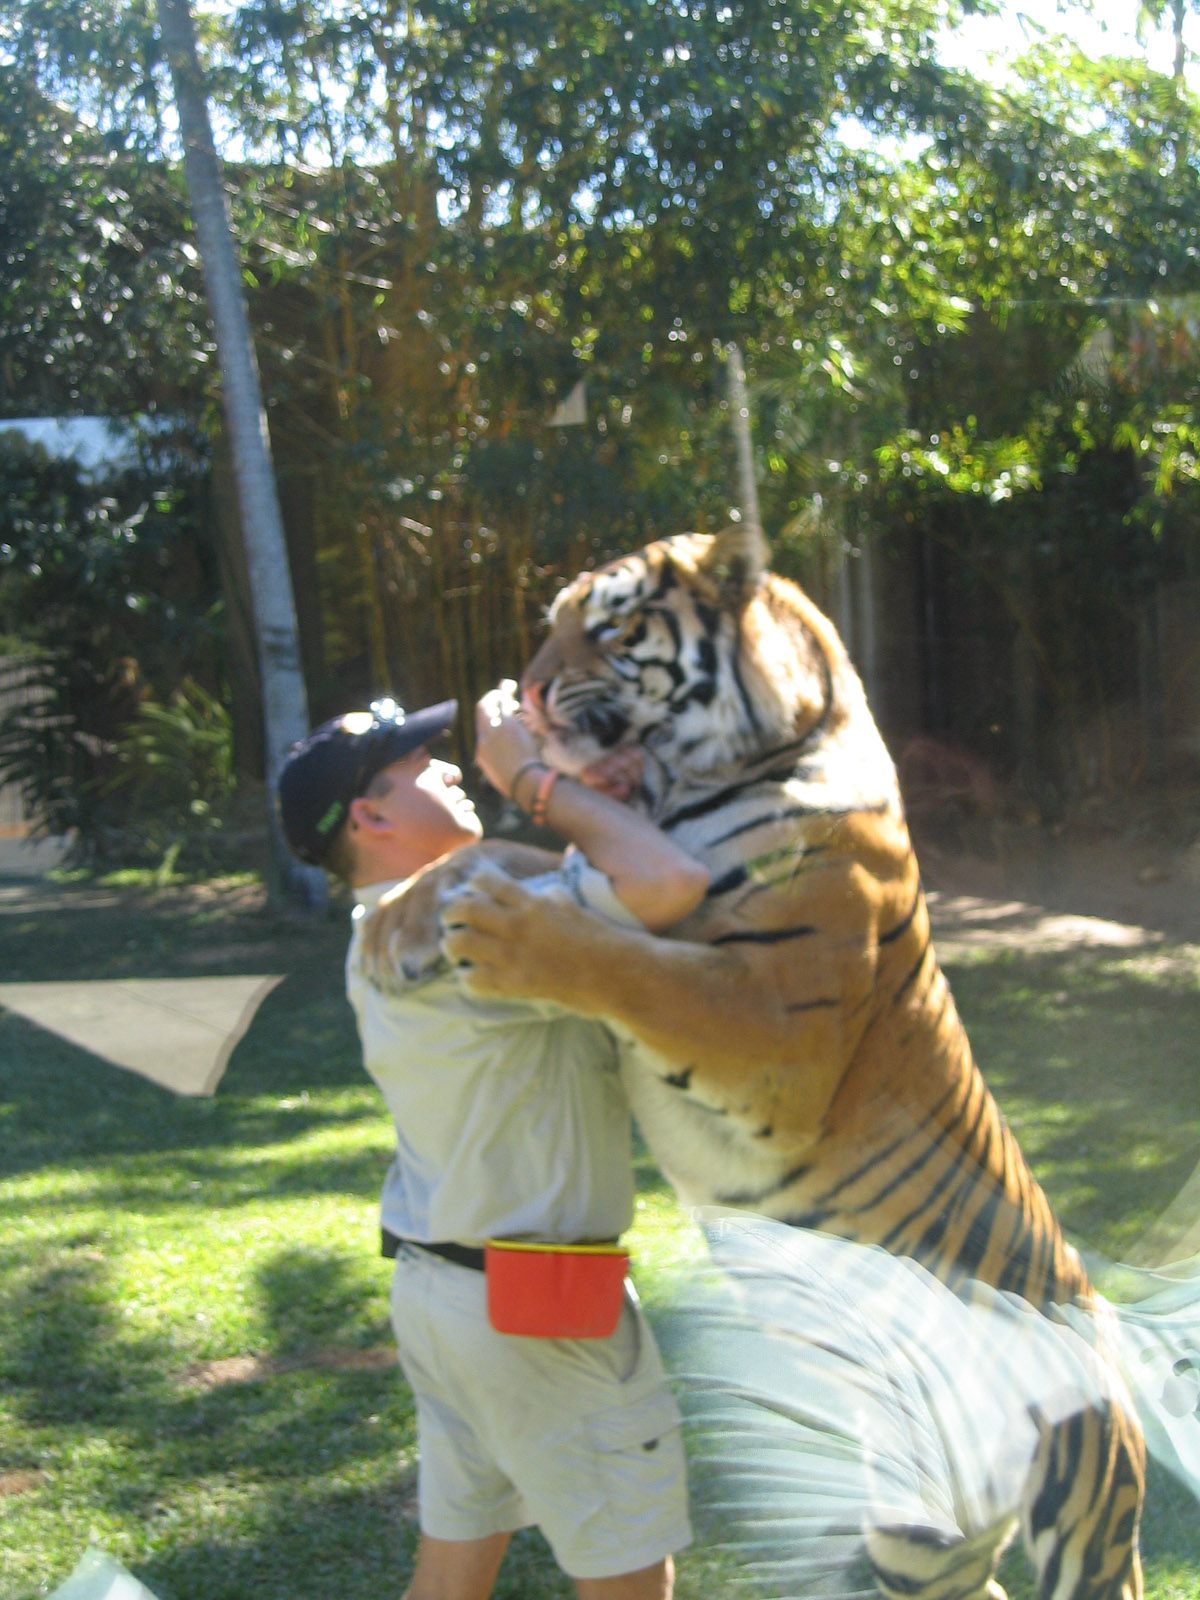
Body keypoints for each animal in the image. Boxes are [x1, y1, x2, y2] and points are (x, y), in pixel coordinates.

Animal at [360, 519, 1146, 1600]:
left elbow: (632, 967)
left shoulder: (777, 1024)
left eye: (609, 624)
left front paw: (498, 934)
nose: (526, 694)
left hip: (1083, 1515)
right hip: (917, 1534)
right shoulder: (616, 864)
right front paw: (393, 925)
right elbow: (501, 854)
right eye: (556, 620)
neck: (685, 783)